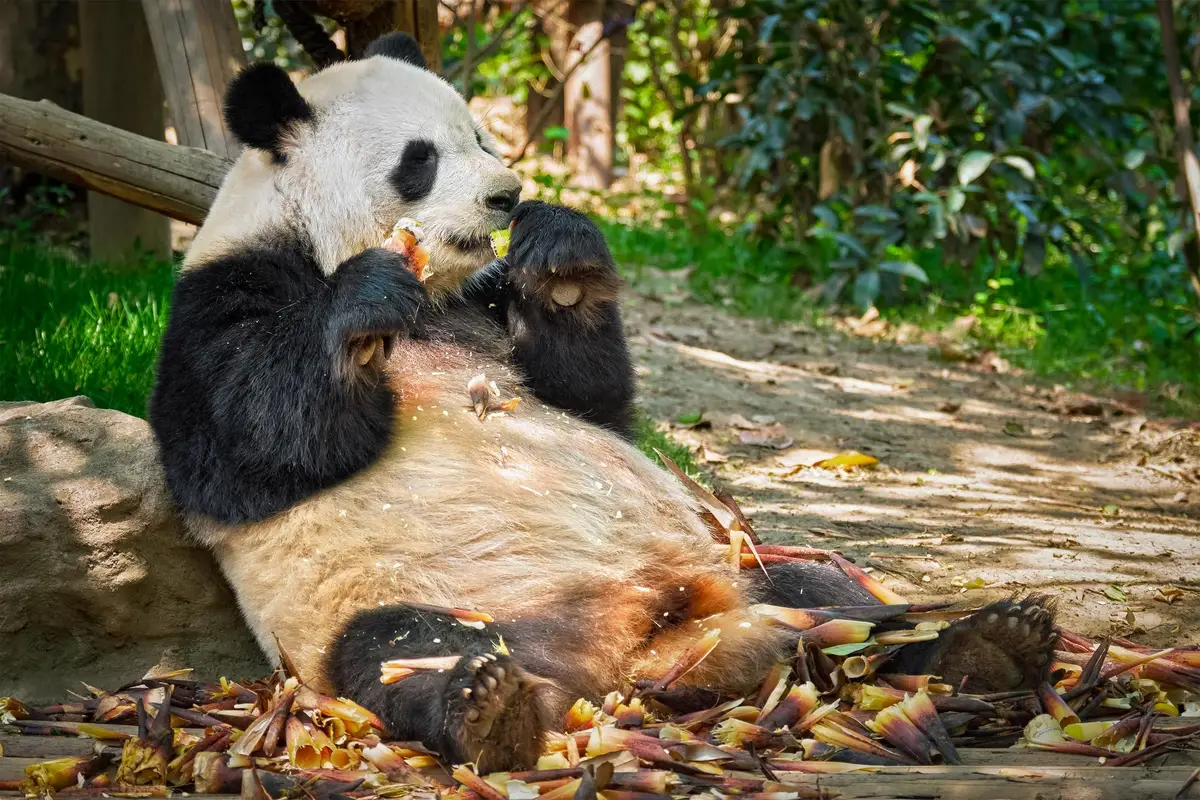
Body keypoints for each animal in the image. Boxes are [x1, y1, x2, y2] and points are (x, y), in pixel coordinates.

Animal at [148, 32, 1057, 772]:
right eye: (420, 159)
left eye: (479, 135)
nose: (506, 194)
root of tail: (640, 649)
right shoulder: (218, 299)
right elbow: (251, 444)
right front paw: (365, 302)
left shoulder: (481, 302)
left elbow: (591, 399)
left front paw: (560, 253)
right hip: (398, 594)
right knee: (403, 649)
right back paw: (489, 711)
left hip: (737, 561)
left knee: (830, 595)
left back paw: (982, 647)